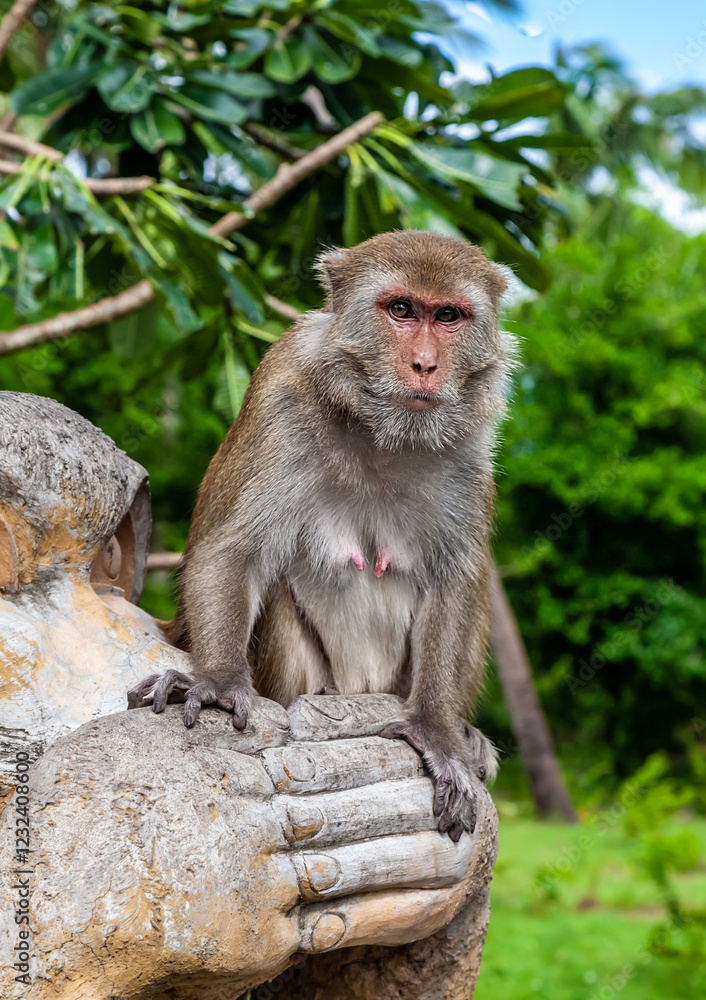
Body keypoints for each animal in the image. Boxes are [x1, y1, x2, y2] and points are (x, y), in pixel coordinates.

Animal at [128, 230, 514, 841]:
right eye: (401, 310)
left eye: (448, 315)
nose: (425, 364)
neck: (383, 431)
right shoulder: (280, 399)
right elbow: (234, 554)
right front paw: (217, 682)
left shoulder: (472, 446)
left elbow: (454, 582)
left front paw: (437, 731)